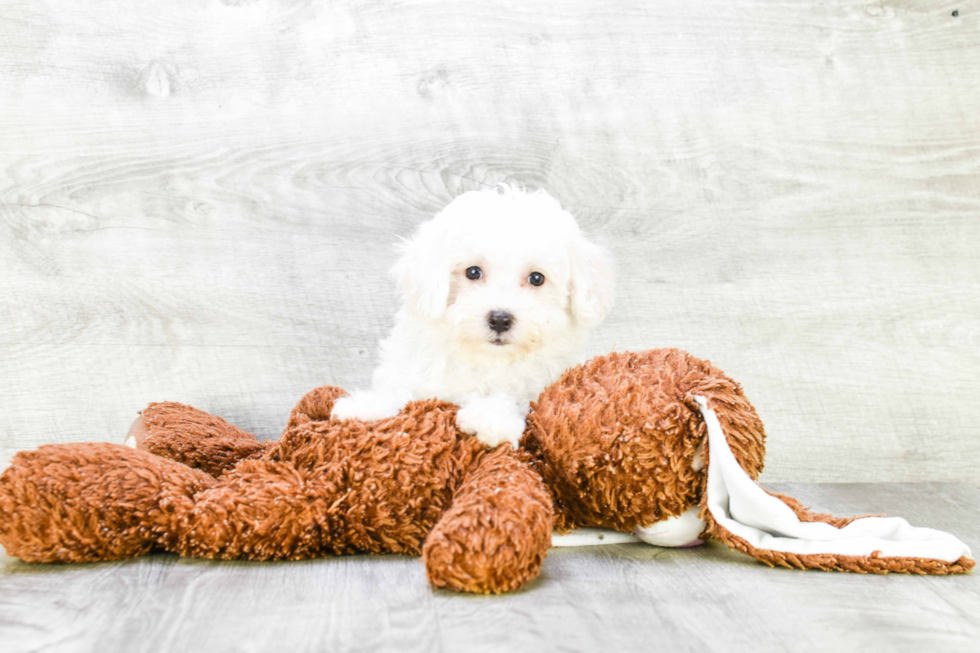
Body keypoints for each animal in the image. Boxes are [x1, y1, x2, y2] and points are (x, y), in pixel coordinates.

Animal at [334, 183, 616, 448]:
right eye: (472, 272)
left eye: (537, 278)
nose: (500, 319)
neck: (486, 359)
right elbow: (398, 389)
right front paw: (365, 406)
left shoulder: (537, 389)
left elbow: (508, 397)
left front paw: (490, 419)